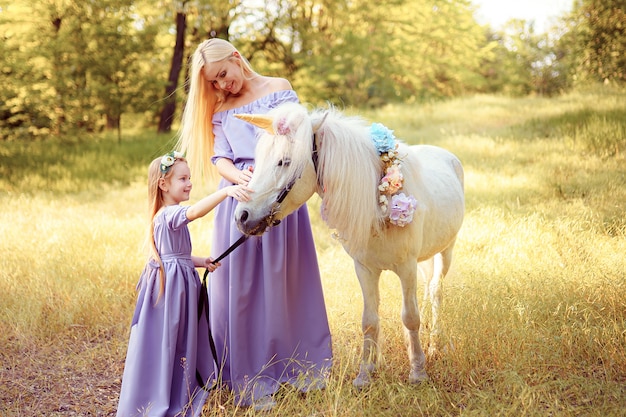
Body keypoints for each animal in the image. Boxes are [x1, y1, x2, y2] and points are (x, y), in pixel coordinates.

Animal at [232, 101, 460, 386]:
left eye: (284, 162)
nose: (242, 217)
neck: (376, 202)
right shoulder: (365, 269)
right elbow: (370, 321)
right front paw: (365, 374)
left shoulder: (406, 268)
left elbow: (410, 317)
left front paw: (417, 371)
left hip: (445, 253)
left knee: (436, 292)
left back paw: (435, 344)